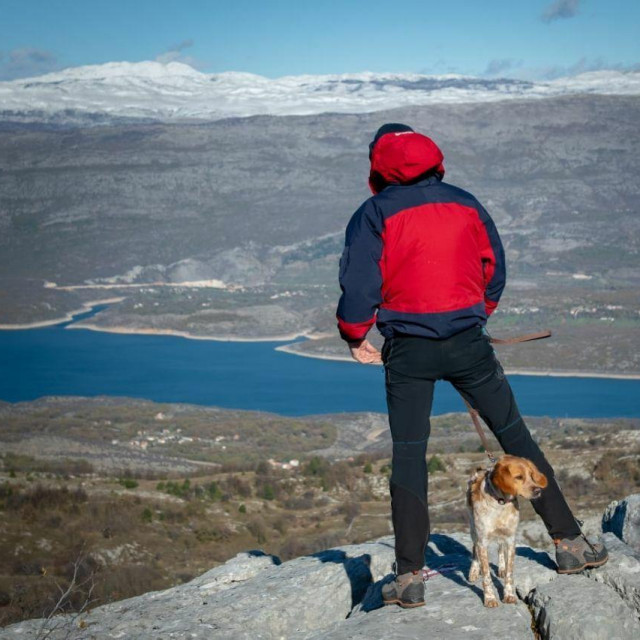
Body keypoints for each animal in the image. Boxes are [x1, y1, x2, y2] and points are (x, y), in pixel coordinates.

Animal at [464, 452, 552, 608]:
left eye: (531, 475)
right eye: (519, 477)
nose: (538, 491)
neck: (501, 503)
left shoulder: (511, 539)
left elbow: (510, 573)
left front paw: (509, 595)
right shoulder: (483, 541)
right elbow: (486, 575)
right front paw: (490, 598)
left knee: (500, 548)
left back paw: (501, 568)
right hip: (473, 530)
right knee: (474, 549)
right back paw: (474, 570)